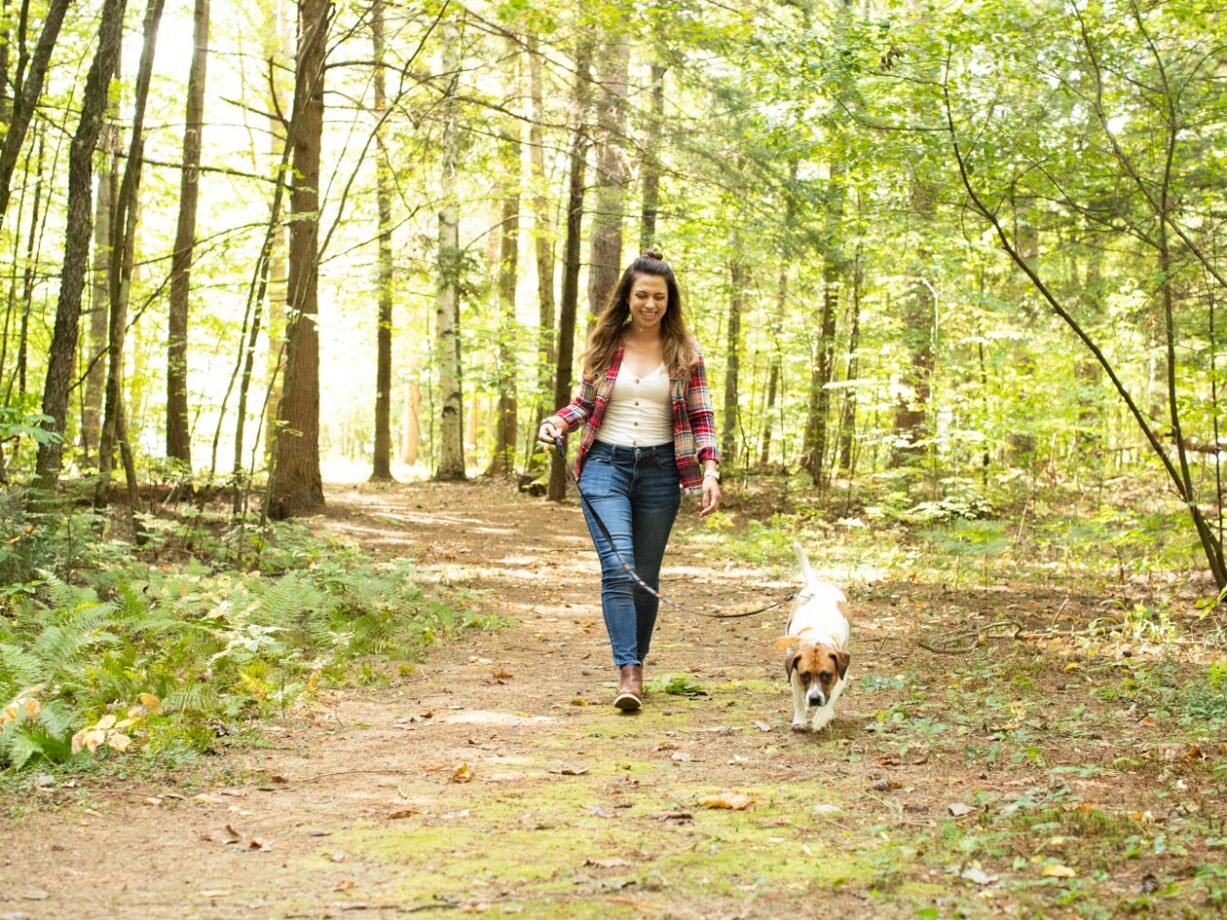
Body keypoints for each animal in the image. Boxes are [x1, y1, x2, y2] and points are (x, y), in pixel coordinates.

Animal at [775, 539, 853, 736]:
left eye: (826, 675)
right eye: (805, 675)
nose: (815, 699)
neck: (816, 636)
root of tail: (818, 585)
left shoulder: (843, 672)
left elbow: (832, 696)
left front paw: (820, 718)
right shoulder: (794, 671)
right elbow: (798, 699)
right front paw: (800, 721)